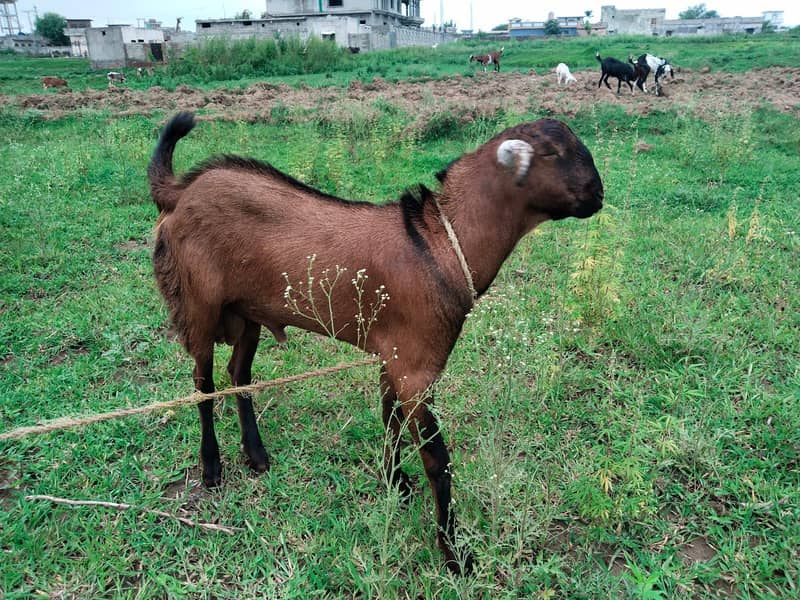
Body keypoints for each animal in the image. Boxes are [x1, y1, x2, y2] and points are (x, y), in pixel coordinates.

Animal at [148, 111, 603, 575]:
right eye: (553, 153)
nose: (598, 196)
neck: (439, 245)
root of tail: (180, 192)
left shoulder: (395, 355)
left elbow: (390, 419)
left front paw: (395, 482)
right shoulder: (416, 367)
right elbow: (437, 460)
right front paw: (454, 553)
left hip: (247, 312)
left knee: (239, 374)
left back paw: (256, 454)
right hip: (199, 307)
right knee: (203, 385)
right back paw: (212, 467)